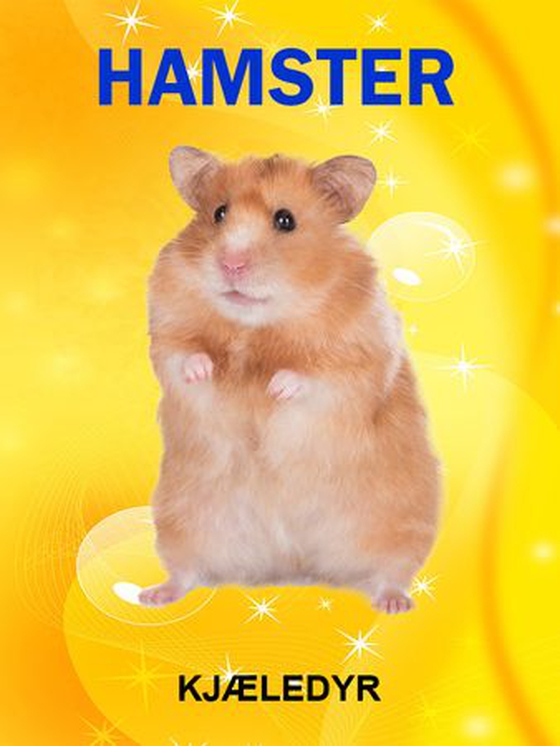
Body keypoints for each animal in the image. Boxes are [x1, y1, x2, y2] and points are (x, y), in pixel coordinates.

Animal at [139, 147, 441, 614]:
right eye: (218, 213)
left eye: (286, 220)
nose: (230, 264)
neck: (258, 327)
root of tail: (295, 565)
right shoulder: (168, 330)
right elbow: (182, 356)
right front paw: (205, 369)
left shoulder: (358, 358)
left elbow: (316, 376)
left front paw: (276, 387)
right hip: (184, 520)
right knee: (186, 572)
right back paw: (154, 596)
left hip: (398, 522)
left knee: (390, 572)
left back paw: (393, 603)